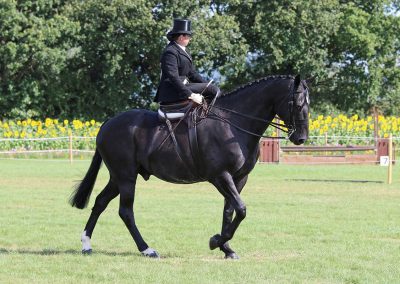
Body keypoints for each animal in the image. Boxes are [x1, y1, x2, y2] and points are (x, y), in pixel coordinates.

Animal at [70, 74, 310, 258]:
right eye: (298, 104)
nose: (301, 138)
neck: (232, 124)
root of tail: (107, 124)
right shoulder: (220, 176)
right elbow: (241, 209)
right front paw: (216, 241)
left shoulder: (239, 178)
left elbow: (229, 211)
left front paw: (226, 248)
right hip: (126, 177)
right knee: (126, 211)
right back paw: (147, 249)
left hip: (118, 177)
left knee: (100, 202)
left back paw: (86, 244)